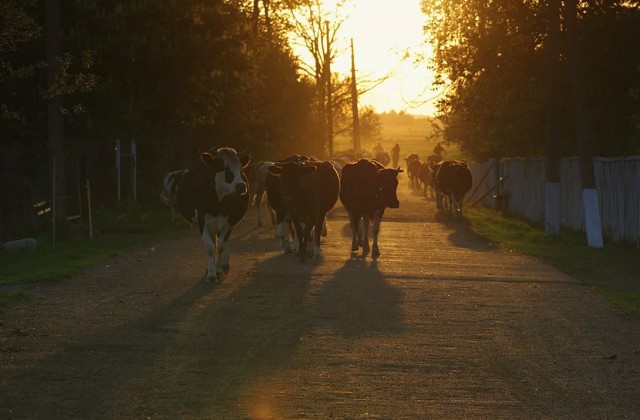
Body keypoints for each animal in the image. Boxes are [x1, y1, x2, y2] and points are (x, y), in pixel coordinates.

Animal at [179, 148, 254, 282]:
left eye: (240, 168)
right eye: (222, 166)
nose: (241, 186)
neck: (217, 204)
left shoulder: (229, 222)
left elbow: (221, 246)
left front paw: (218, 270)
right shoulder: (202, 221)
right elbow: (210, 247)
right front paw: (211, 273)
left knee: (226, 241)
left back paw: (225, 264)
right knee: (213, 241)